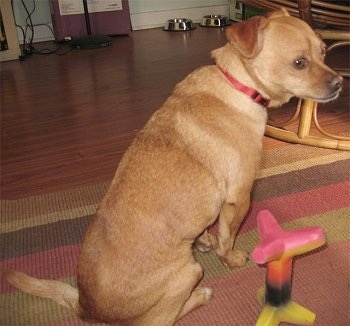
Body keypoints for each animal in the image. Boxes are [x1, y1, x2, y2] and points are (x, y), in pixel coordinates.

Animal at [6, 8, 344, 324]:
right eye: (299, 63)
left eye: (323, 52)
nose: (340, 82)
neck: (237, 84)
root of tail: (85, 308)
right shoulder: (240, 198)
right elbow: (227, 238)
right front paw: (231, 258)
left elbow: (209, 228)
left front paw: (204, 240)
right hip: (188, 273)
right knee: (165, 318)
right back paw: (201, 295)